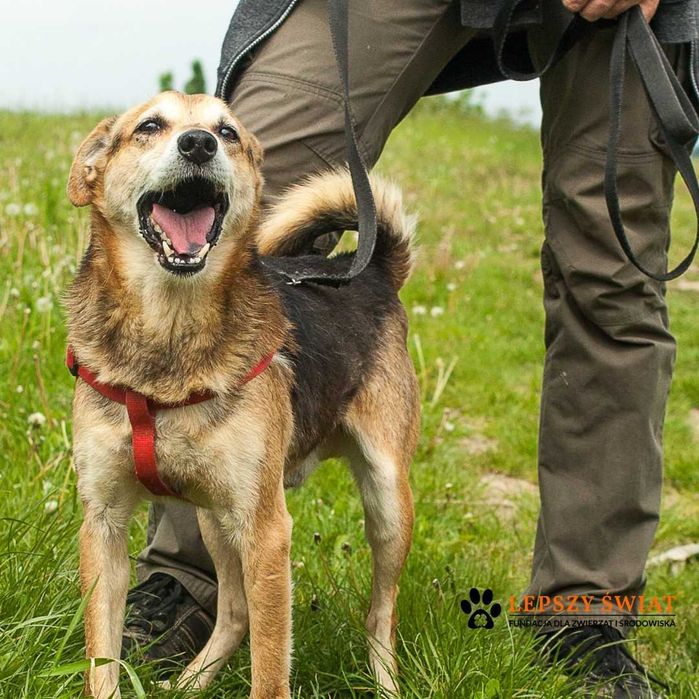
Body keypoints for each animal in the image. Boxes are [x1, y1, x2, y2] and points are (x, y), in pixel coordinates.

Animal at [65, 93, 418, 699]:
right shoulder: (104, 525)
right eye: (150, 126)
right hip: (216, 516)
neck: (169, 336)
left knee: (380, 612)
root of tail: (370, 270)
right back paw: (189, 683)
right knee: (235, 612)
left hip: (386, 499)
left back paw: (385, 681)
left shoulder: (268, 529)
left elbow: (271, 670)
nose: (199, 144)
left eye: (227, 132)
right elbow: (102, 660)